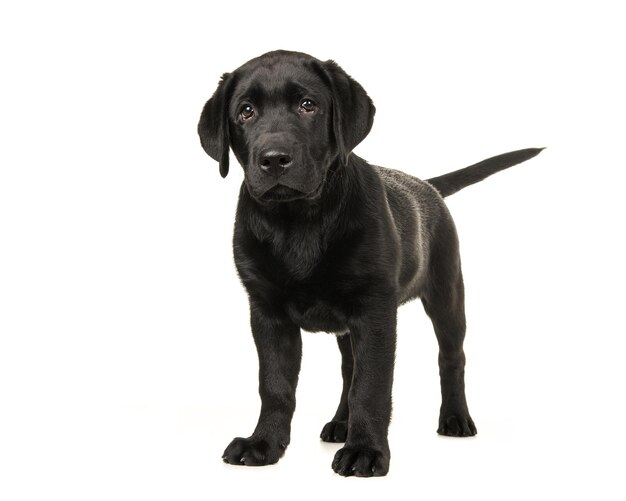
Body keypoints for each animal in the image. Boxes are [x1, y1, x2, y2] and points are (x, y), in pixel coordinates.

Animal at [196, 50, 540, 476]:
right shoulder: (267, 312)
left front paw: (366, 451)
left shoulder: (375, 313)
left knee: (451, 357)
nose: (274, 159)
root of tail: (427, 186)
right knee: (348, 369)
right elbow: (276, 386)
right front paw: (263, 444)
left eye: (308, 105)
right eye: (245, 112)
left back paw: (455, 418)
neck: (298, 221)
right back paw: (340, 424)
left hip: (447, 294)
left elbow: (372, 386)